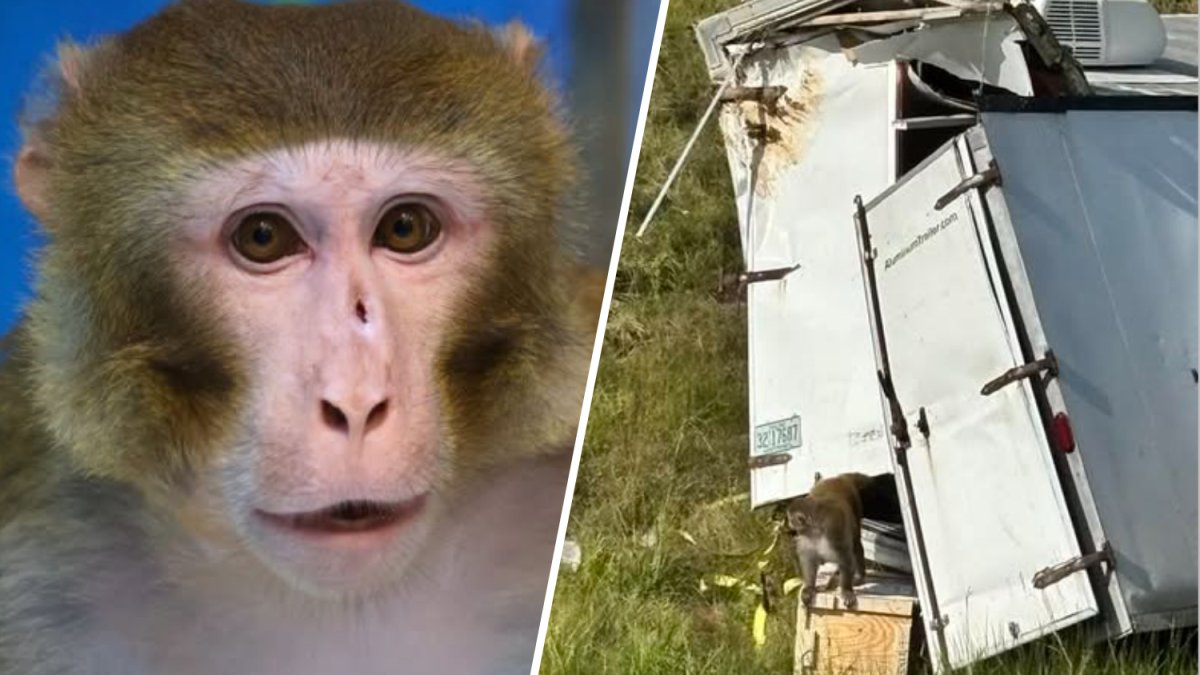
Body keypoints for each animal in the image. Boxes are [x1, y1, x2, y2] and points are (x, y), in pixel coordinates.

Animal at [784, 472, 874, 610]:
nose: (788, 522)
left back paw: (859, 577)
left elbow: (845, 557)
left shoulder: (834, 529)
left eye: (790, 518)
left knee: (856, 543)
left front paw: (846, 590)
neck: (816, 530)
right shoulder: (805, 537)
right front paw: (809, 588)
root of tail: (838, 478)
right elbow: (808, 559)